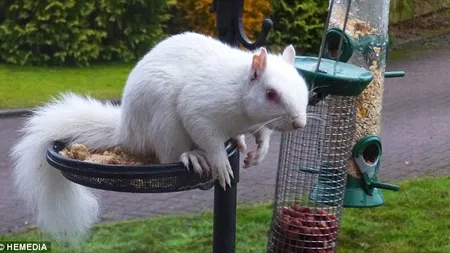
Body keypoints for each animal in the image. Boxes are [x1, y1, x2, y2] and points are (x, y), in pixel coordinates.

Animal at [9, 31, 310, 245]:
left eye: (303, 85)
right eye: (271, 94)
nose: (299, 123)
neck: (240, 97)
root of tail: (126, 130)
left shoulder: (258, 121)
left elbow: (263, 131)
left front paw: (261, 149)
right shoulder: (199, 110)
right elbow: (209, 139)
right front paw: (222, 164)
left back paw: (237, 140)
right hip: (164, 122)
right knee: (169, 154)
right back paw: (193, 155)